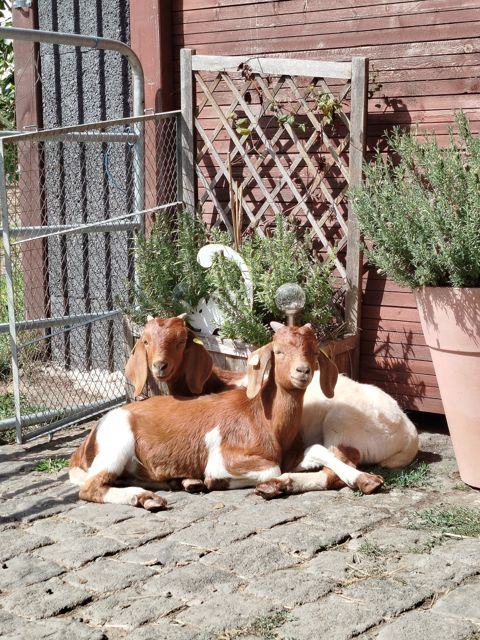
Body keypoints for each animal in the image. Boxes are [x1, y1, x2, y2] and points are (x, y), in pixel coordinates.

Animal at [70, 324, 374, 510]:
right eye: (278, 351)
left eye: (312, 351)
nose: (303, 371)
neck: (263, 416)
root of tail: (86, 443)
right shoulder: (227, 455)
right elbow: (271, 469)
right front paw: (218, 481)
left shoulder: (292, 454)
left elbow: (319, 449)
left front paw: (365, 480)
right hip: (116, 444)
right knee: (91, 487)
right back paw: (147, 497)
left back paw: (174, 485)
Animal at [254, 322, 418, 499]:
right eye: (278, 352)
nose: (302, 371)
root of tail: (410, 434)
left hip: (340, 424)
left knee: (334, 471)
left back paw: (277, 483)